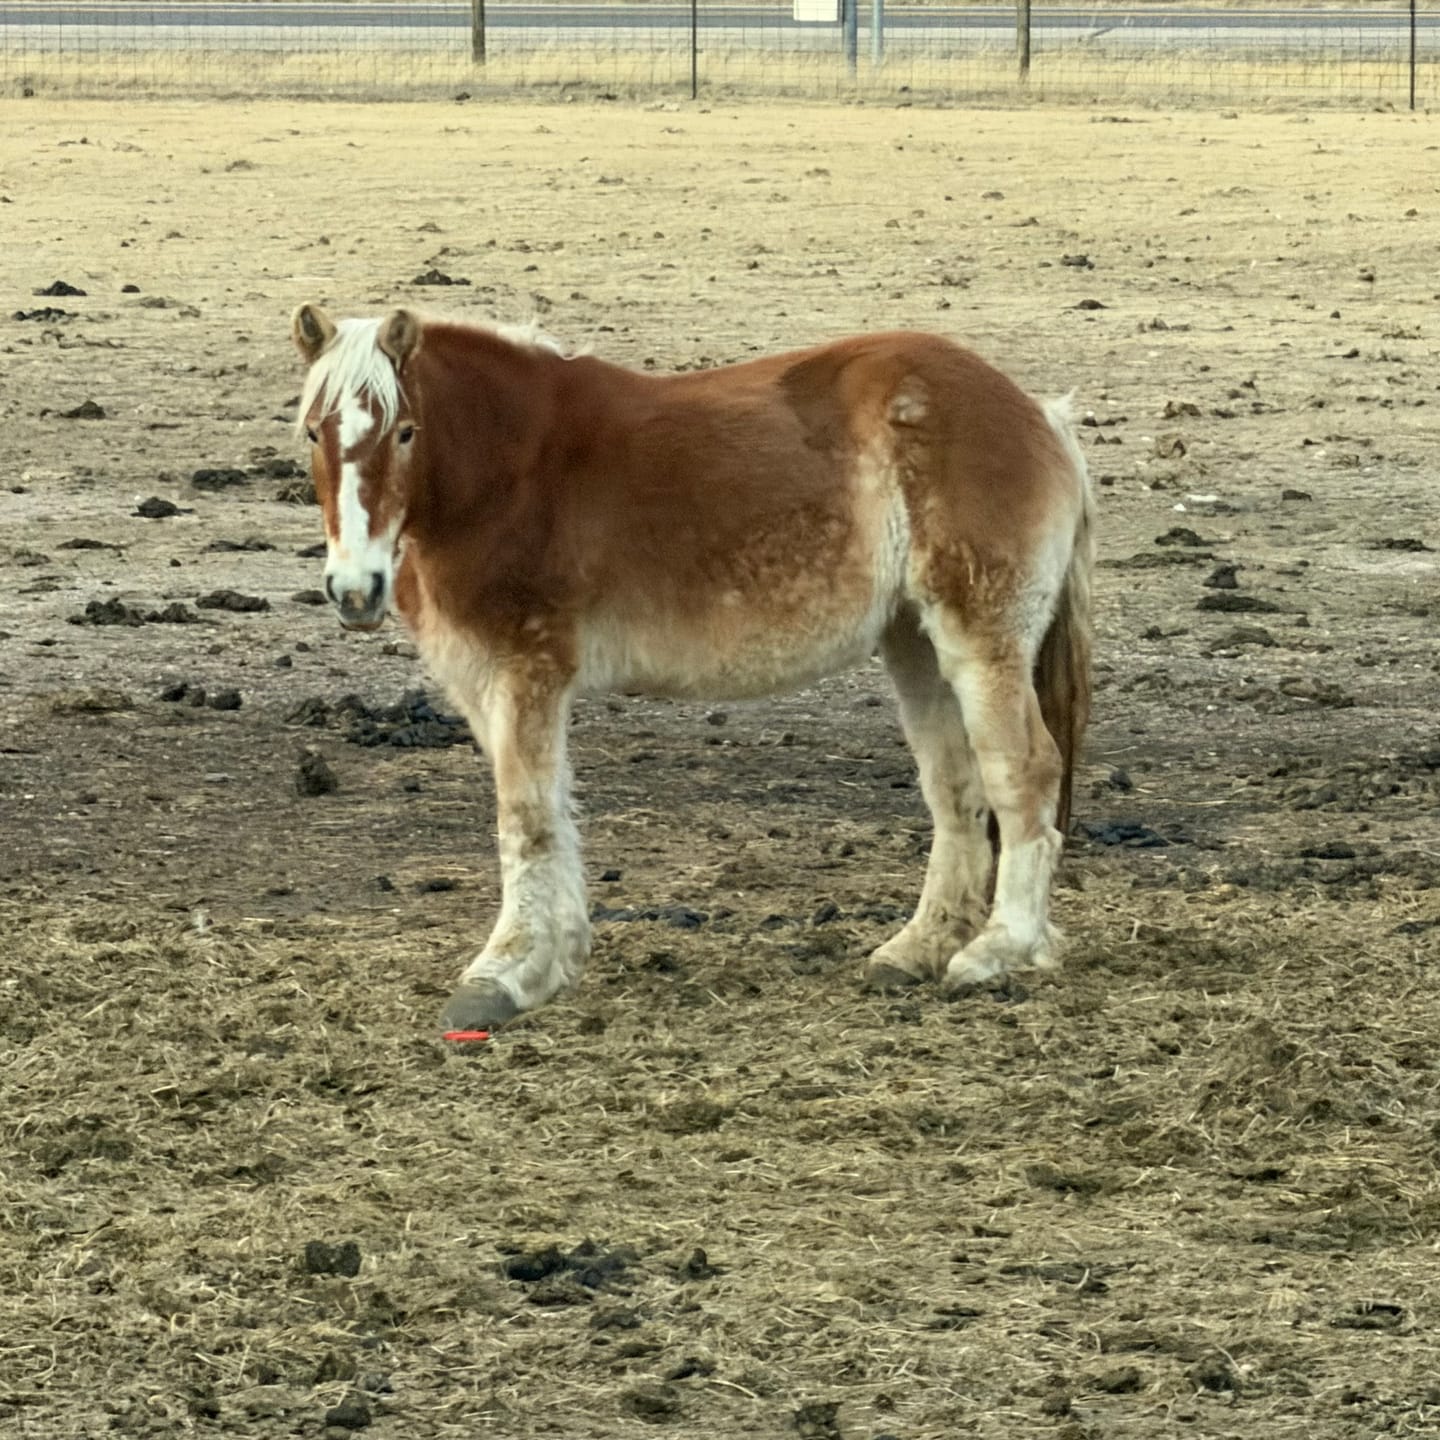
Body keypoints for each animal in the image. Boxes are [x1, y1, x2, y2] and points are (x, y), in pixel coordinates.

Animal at [290, 304, 1094, 1033]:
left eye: (405, 431)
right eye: (314, 432)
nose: (354, 590)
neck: (510, 468)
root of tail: (1036, 413)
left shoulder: (526, 670)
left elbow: (526, 819)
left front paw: (504, 974)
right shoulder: (485, 683)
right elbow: (550, 813)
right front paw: (552, 961)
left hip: (979, 640)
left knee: (1024, 771)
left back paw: (997, 951)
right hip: (915, 643)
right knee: (955, 788)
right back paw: (916, 949)